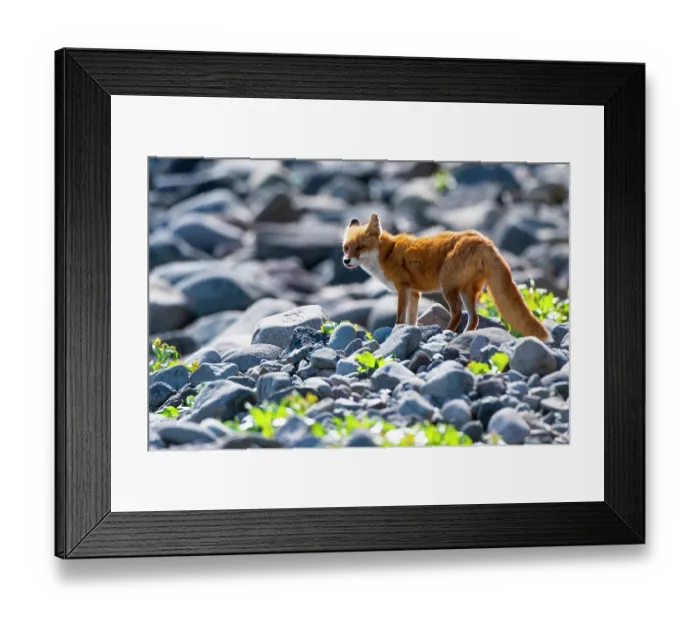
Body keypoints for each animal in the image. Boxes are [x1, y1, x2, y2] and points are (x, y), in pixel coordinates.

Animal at [342, 213, 550, 341]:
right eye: (346, 247)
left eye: (360, 247)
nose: (345, 261)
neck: (387, 254)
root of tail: (482, 239)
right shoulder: (415, 292)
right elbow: (411, 319)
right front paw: (407, 333)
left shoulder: (403, 288)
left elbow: (400, 317)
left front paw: (396, 332)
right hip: (467, 291)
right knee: (474, 318)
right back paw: (463, 336)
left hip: (448, 287)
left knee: (457, 314)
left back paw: (447, 333)